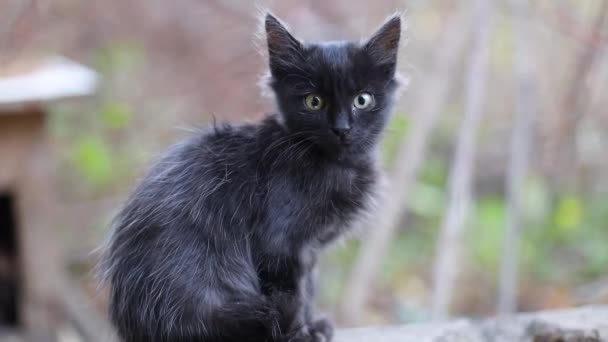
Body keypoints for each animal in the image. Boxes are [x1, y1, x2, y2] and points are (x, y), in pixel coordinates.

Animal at [102, 12, 402, 342]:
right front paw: (302, 333)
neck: (336, 165)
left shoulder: (310, 250)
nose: (342, 129)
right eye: (314, 102)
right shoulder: (281, 244)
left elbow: (309, 288)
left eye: (362, 100)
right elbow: (296, 294)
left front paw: (314, 326)